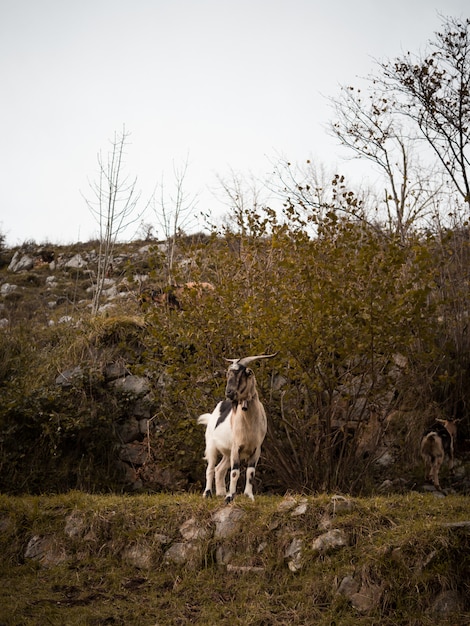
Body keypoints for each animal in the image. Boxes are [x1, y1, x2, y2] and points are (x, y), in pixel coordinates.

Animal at [197, 352, 278, 502]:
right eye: (228, 374)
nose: (229, 393)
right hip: (211, 445)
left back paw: (221, 492)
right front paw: (230, 497)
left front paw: (249, 496)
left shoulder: (256, 448)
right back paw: (207, 493)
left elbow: (250, 473)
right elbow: (235, 472)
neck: (249, 424)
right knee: (210, 468)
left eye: (242, 374)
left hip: (227, 453)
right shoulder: (236, 447)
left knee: (219, 469)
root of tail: (211, 416)